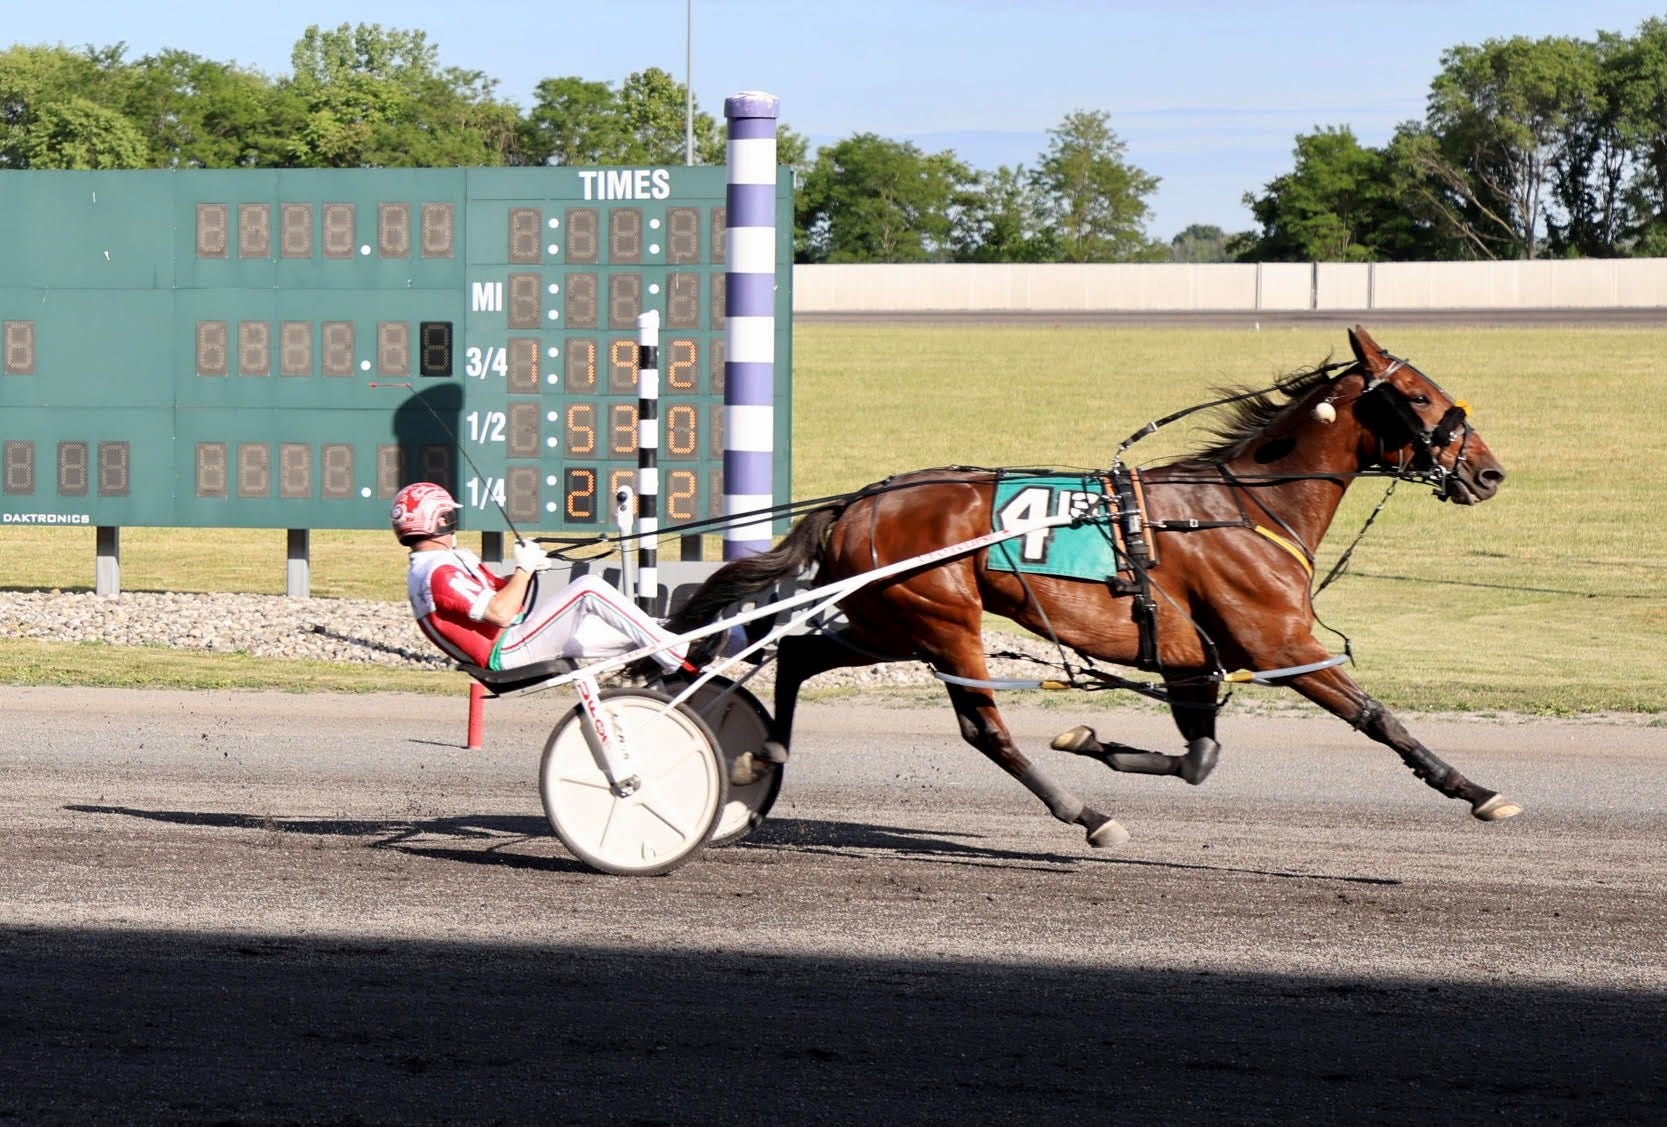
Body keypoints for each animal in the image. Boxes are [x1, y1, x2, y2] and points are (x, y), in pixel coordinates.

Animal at [670, 325, 1520, 846]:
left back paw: (761, 755)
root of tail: (857, 502)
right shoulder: (1278, 644)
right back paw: (1084, 813)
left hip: (890, 619)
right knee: (983, 730)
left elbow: (1199, 758)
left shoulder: (1188, 659)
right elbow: (1377, 717)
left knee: (800, 657)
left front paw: (1089, 738)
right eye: (1418, 396)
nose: (1488, 472)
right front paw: (1474, 788)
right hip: (943, 623)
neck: (1245, 506)